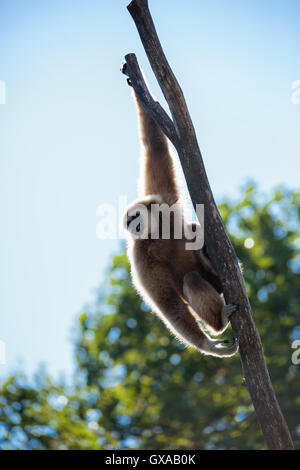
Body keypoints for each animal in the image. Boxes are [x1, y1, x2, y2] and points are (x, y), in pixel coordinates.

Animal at [123, 87, 238, 356]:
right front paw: (208, 345)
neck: (158, 233)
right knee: (191, 279)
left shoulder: (165, 200)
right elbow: (168, 304)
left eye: (134, 217)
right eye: (128, 221)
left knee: (196, 233)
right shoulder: (141, 259)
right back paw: (219, 323)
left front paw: (136, 85)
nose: (131, 225)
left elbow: (154, 146)